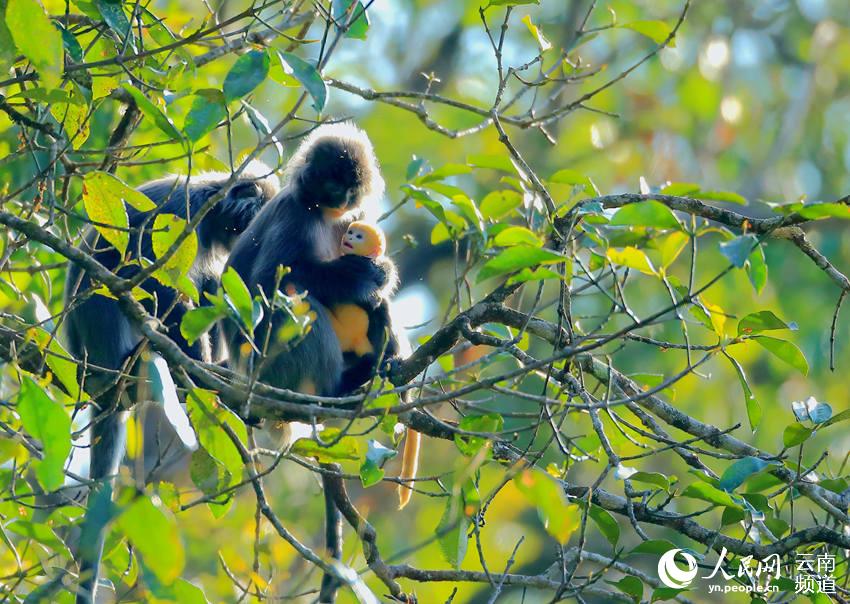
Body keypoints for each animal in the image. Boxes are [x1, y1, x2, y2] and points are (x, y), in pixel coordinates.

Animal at [225, 121, 398, 600]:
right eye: (329, 180)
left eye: (349, 185)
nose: (339, 195)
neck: (324, 215)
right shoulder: (293, 214)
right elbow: (265, 284)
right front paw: (362, 274)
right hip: (267, 364)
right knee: (292, 299)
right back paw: (335, 388)